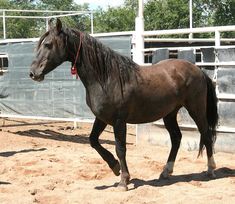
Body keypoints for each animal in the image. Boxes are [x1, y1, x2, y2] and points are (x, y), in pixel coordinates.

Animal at [29, 19, 218, 191]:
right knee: (176, 138)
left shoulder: (119, 121)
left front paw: (123, 181)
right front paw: (114, 167)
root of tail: (199, 70)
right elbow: (93, 140)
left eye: (48, 44)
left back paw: (210, 170)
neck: (106, 78)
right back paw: (166, 172)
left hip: (196, 109)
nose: (33, 73)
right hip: (169, 114)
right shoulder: (102, 118)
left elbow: (120, 148)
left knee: (206, 134)